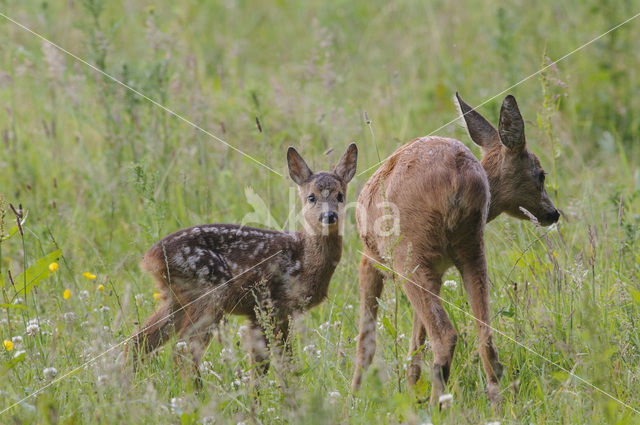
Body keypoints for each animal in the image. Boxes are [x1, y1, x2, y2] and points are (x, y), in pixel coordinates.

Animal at [129, 144, 360, 380]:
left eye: (340, 195)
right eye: (311, 197)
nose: (329, 216)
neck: (303, 258)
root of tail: (150, 258)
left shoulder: (275, 312)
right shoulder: (268, 305)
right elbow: (268, 364)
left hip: (175, 298)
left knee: (140, 340)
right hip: (209, 291)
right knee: (184, 349)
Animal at [350, 93, 560, 404]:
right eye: (541, 174)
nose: (553, 213)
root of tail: (459, 177)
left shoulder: (370, 259)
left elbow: (367, 339)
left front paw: (353, 399)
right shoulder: (436, 272)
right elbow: (415, 341)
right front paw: (410, 391)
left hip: (408, 255)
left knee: (445, 335)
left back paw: (438, 404)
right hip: (471, 249)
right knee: (485, 337)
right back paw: (494, 402)